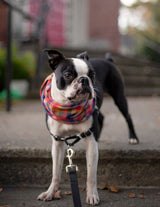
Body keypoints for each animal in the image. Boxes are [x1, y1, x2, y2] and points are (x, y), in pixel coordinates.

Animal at [37, 49, 139, 205]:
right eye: (68, 75)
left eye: (92, 75)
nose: (84, 79)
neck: (69, 109)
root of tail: (108, 60)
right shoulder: (57, 143)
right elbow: (55, 172)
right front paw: (50, 193)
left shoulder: (91, 144)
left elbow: (91, 175)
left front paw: (92, 196)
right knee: (101, 117)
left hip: (119, 96)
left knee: (128, 117)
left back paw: (133, 138)